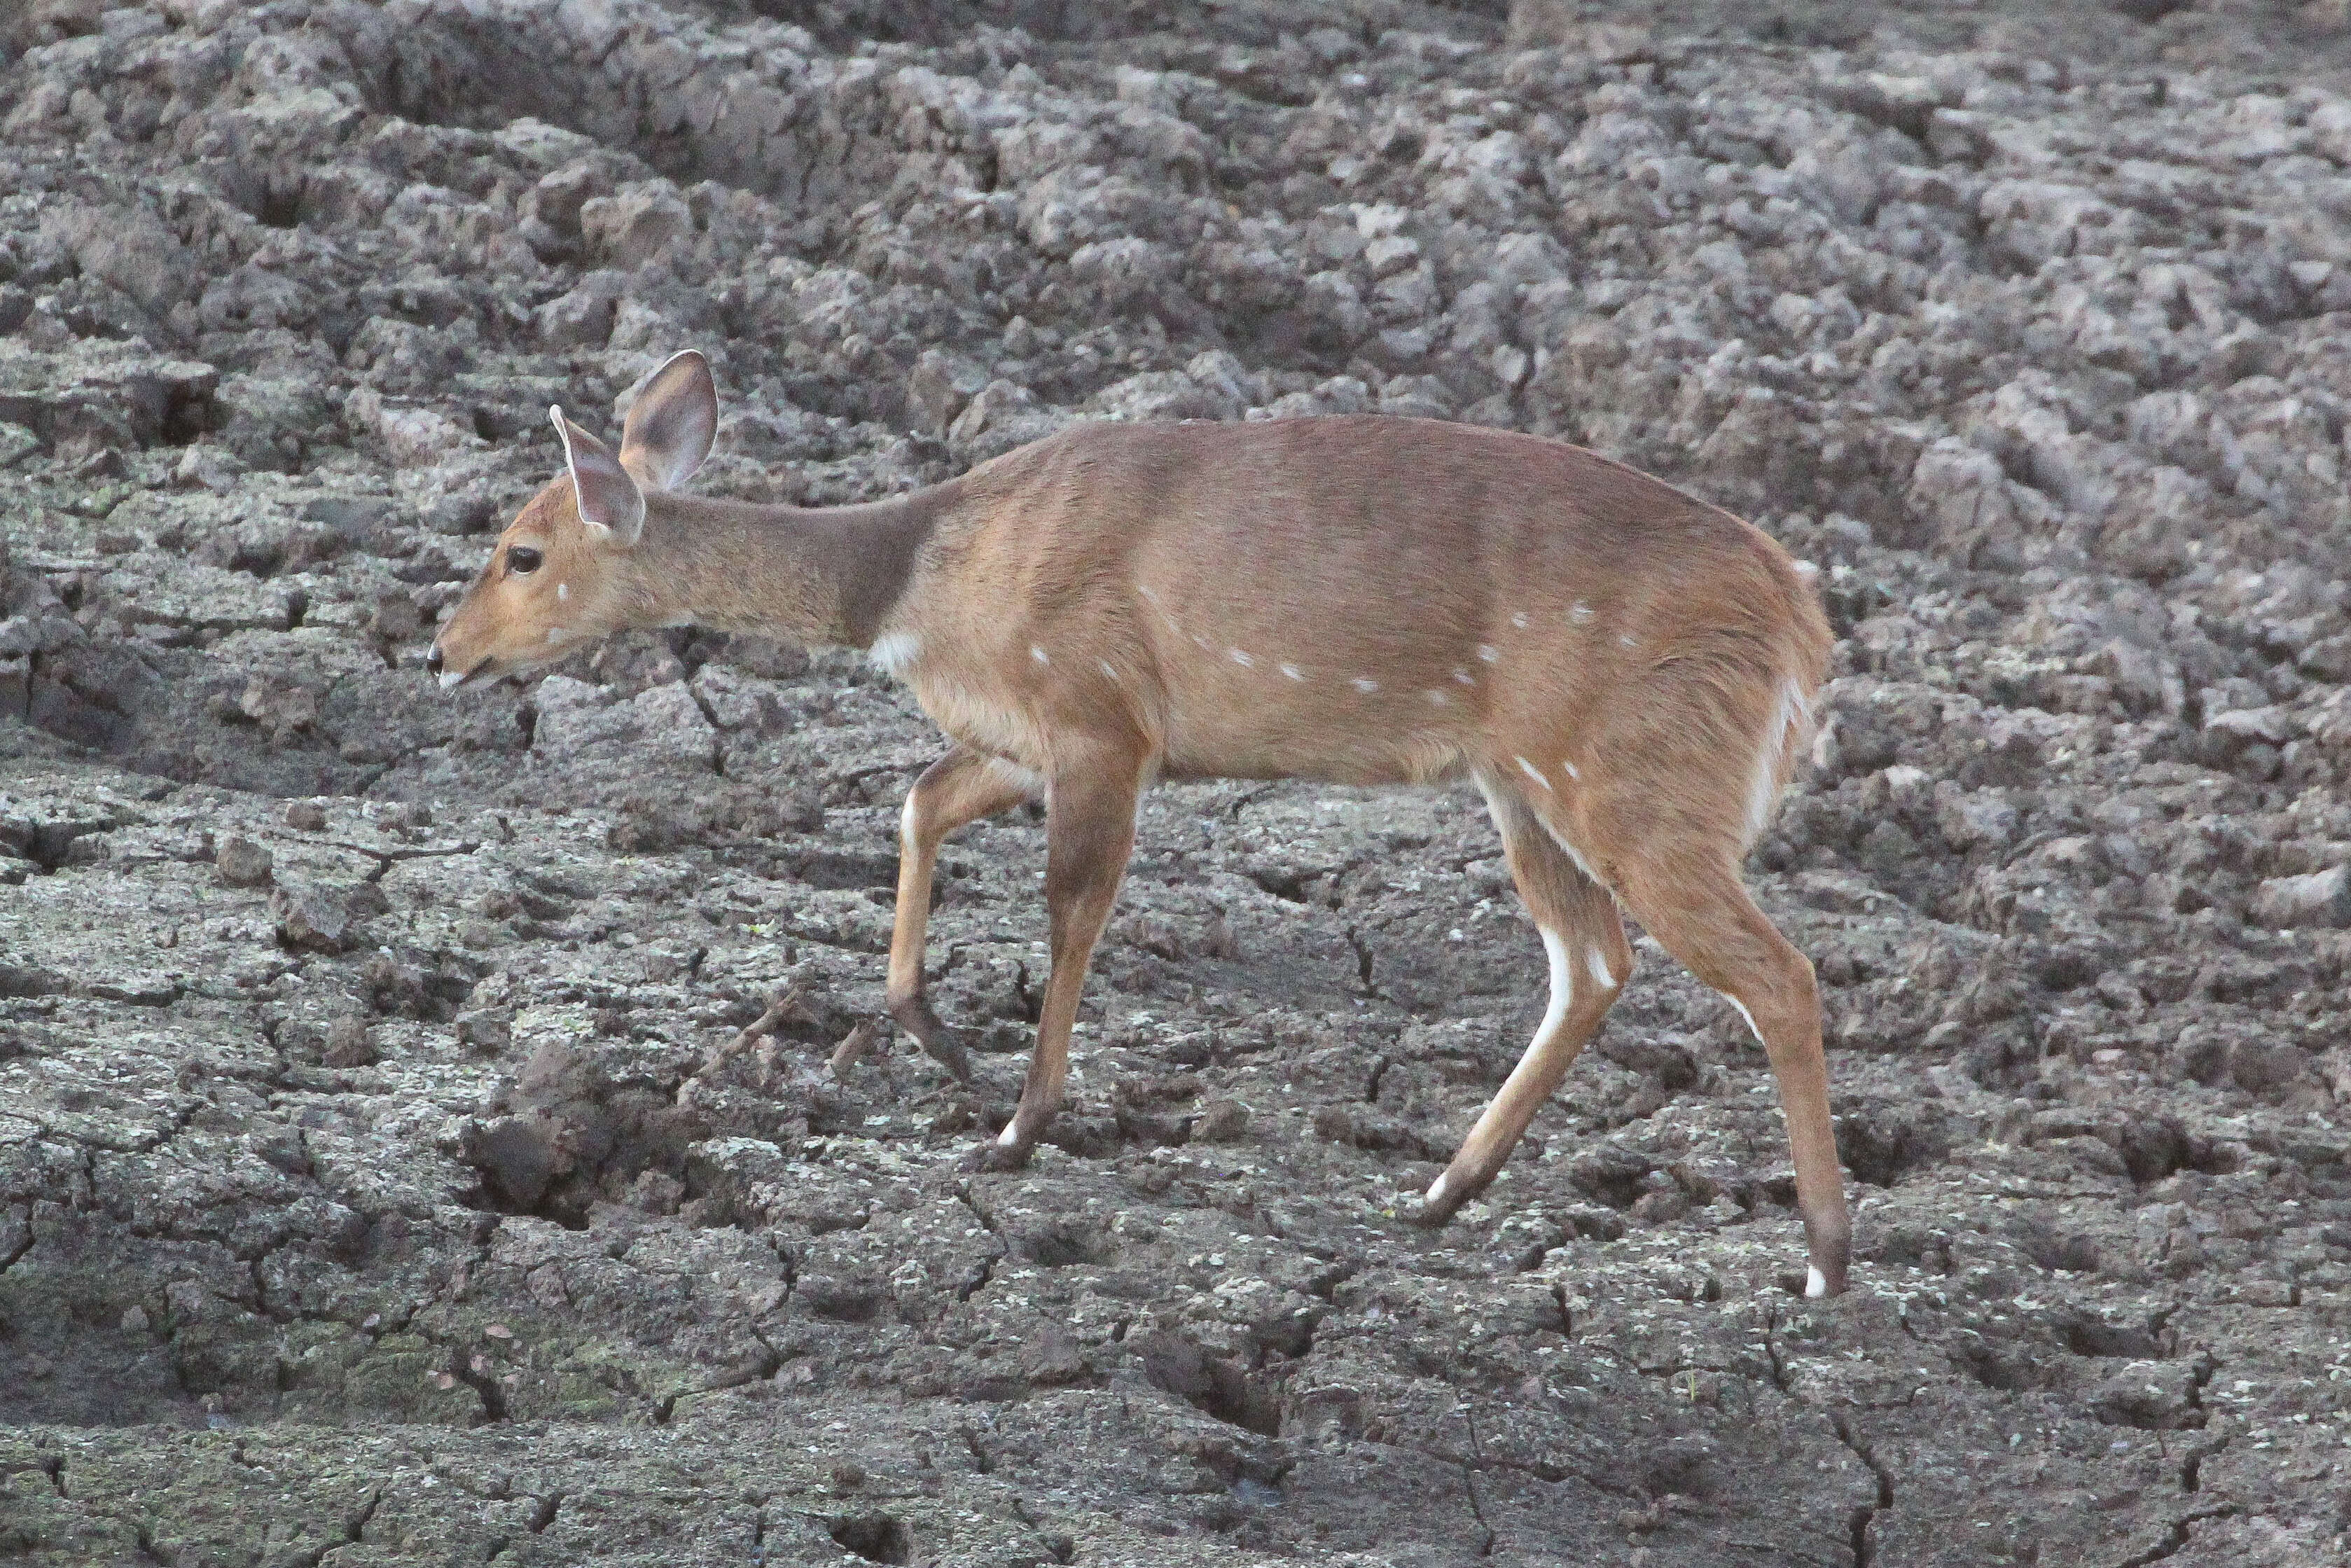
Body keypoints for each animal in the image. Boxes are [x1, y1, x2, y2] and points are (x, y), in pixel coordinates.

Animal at [432, 350, 1843, 1297]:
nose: (440, 653)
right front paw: (936, 1035)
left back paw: (1827, 1257)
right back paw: (1438, 1191)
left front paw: (1016, 1127)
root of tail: (1798, 620)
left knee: (1775, 970)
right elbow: (920, 795)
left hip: (1632, 781)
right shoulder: (1037, 734)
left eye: (520, 550)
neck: (916, 575)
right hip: (1518, 781)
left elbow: (1071, 906)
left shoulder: (1097, 713)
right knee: (1590, 958)